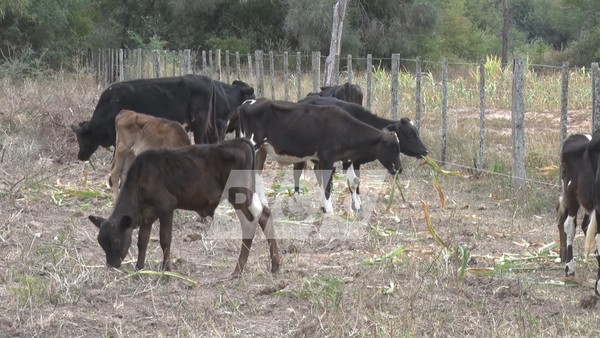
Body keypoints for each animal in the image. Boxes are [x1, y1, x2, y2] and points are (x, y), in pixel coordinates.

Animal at [88, 137, 280, 274]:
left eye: (115, 240)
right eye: (100, 242)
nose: (112, 265)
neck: (141, 177)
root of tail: (238, 141)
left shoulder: (166, 206)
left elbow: (165, 239)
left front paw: (167, 270)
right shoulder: (147, 214)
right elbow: (142, 241)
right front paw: (139, 268)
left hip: (238, 194)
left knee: (251, 222)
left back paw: (238, 270)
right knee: (265, 215)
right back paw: (275, 265)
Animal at [237, 97, 400, 213]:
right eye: (392, 147)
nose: (400, 168)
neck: (343, 128)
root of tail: (248, 102)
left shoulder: (325, 160)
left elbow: (329, 183)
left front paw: (323, 207)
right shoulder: (327, 158)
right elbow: (328, 185)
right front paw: (330, 210)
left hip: (262, 150)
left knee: (257, 173)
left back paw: (263, 203)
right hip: (253, 146)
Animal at [296, 95, 426, 211]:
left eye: (417, 133)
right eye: (410, 134)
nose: (425, 150)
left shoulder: (357, 162)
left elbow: (357, 181)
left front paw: (358, 204)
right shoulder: (348, 160)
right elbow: (353, 182)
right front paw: (356, 207)